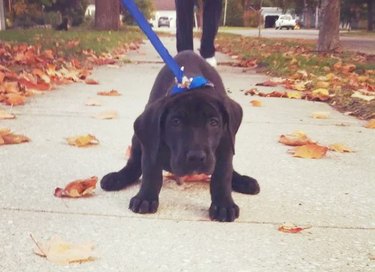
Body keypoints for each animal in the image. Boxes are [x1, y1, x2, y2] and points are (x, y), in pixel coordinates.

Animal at [103, 50, 262, 221]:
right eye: (176, 122)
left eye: (213, 122)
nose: (196, 158)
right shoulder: (151, 143)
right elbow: (151, 172)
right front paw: (145, 198)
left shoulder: (226, 144)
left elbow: (222, 175)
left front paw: (223, 205)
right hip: (138, 139)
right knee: (134, 166)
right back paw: (116, 178)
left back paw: (244, 181)